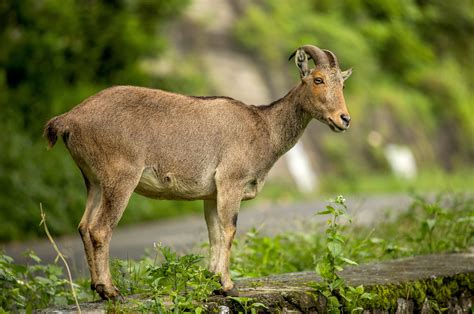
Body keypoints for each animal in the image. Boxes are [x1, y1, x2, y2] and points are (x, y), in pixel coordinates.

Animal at [44, 45, 352, 300]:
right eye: (318, 79)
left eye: (342, 82)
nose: (344, 119)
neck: (264, 128)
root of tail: (69, 119)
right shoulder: (230, 182)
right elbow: (229, 229)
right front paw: (228, 285)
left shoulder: (211, 193)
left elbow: (214, 232)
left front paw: (213, 281)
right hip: (120, 178)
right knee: (100, 229)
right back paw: (111, 291)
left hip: (94, 181)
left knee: (84, 226)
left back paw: (97, 289)